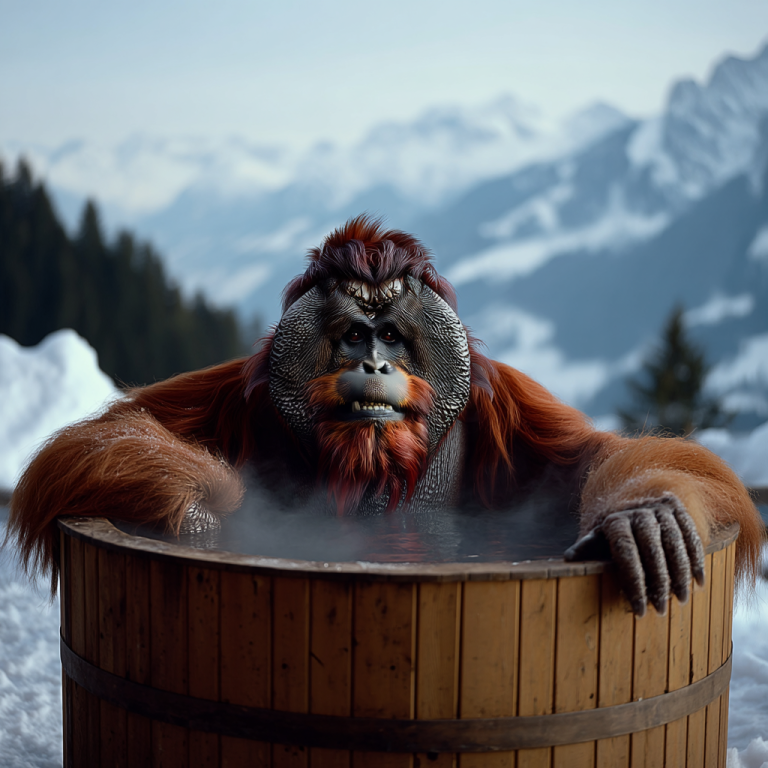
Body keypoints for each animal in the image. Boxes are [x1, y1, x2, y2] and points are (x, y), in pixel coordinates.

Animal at [7, 215, 765, 616]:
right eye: (351, 334)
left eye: (393, 336)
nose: (373, 363)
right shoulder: (232, 392)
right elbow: (116, 428)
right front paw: (199, 516)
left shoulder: (511, 404)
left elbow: (590, 458)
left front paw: (640, 516)